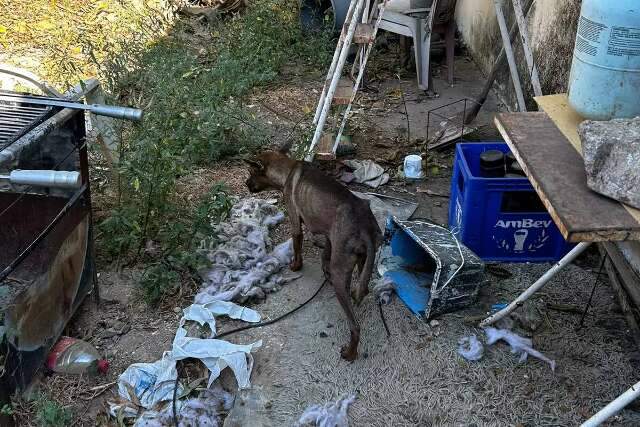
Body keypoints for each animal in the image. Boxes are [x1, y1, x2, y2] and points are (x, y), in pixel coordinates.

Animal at [245, 148, 380, 362]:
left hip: (341, 276)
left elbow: (297, 245)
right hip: (363, 262)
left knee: (355, 327)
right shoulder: (329, 235)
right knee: (363, 289)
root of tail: (364, 226)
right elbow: (325, 254)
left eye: (251, 172)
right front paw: (323, 270)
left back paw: (350, 353)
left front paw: (295, 266)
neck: (288, 169)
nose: (245, 184)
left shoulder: (295, 221)